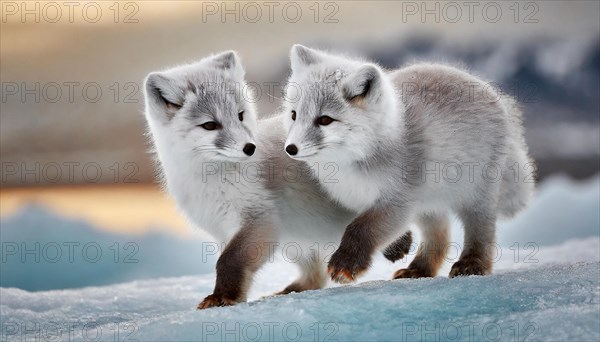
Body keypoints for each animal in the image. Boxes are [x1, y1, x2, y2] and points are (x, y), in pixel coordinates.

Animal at [143, 52, 412, 308]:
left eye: (240, 116)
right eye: (209, 125)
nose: (249, 148)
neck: (209, 179)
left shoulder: (260, 217)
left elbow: (228, 261)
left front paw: (221, 297)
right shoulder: (227, 227)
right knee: (314, 275)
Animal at [282, 44, 536, 282]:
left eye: (325, 120)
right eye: (294, 115)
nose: (290, 149)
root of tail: (498, 98)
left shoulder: (398, 200)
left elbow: (360, 228)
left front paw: (346, 263)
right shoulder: (367, 200)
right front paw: (398, 246)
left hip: (474, 196)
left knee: (481, 231)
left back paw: (472, 264)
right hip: (427, 204)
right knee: (440, 235)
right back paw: (419, 269)